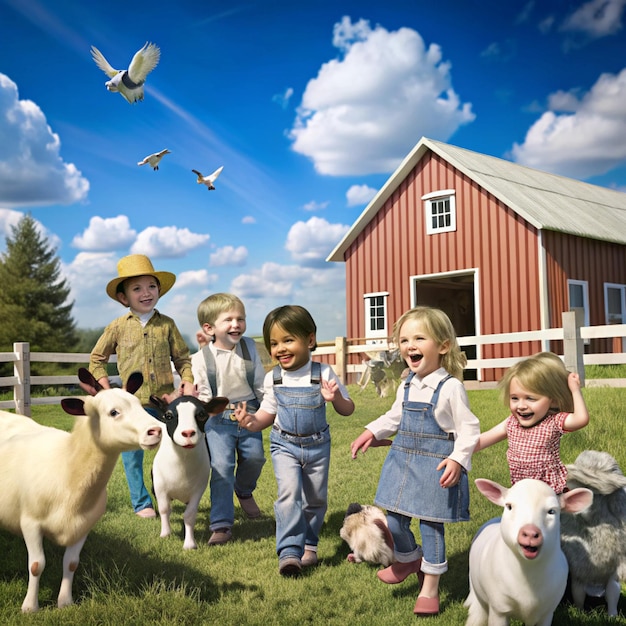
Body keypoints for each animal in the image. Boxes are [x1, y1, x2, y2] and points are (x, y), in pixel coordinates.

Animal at [0, 366, 163, 608]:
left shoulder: (83, 526)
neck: (68, 469)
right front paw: (30, 606)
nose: (156, 431)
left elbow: (71, 563)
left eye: (138, 404)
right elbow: (37, 565)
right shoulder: (30, 523)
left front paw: (65, 602)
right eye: (113, 412)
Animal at [556, 448, 624, 616]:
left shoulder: (611, 568)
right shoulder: (580, 568)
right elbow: (579, 594)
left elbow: (611, 593)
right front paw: (580, 613)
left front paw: (611, 617)